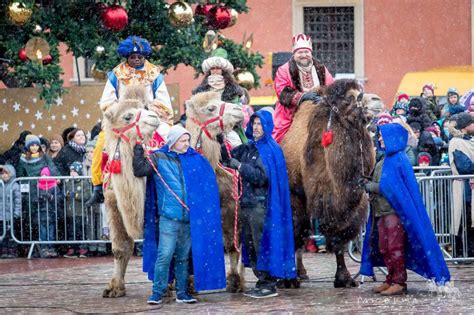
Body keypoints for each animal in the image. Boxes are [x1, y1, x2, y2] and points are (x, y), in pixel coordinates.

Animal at [100, 85, 161, 298]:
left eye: (146, 107)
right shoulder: (112, 203)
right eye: (127, 116)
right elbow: (120, 247)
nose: (154, 117)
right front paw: (114, 288)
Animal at [184, 92, 246, 294]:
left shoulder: (230, 210)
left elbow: (232, 246)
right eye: (210, 108)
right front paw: (190, 284)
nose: (239, 110)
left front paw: (233, 280)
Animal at [282, 79, 386, 288]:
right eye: (348, 99)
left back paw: (302, 273)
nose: (377, 100)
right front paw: (289, 280)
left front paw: (345, 278)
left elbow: (340, 237)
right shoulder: (297, 196)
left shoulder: (348, 205)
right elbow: (293, 231)